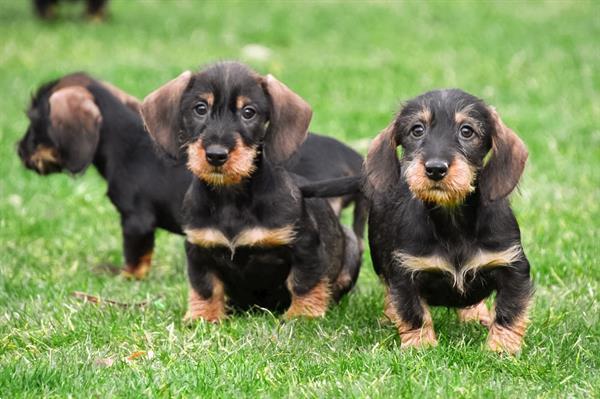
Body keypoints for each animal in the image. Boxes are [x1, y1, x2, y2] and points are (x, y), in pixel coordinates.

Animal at [17, 73, 366, 282]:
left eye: (36, 122)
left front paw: (125, 275)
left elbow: (136, 257)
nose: (18, 151)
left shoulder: (136, 220)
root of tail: (352, 157)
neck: (126, 143)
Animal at [364, 89, 532, 354]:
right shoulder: (405, 272)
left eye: (467, 131)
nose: (435, 169)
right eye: (417, 129)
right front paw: (421, 347)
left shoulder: (513, 266)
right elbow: (414, 313)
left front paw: (500, 349)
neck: (453, 220)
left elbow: (509, 311)